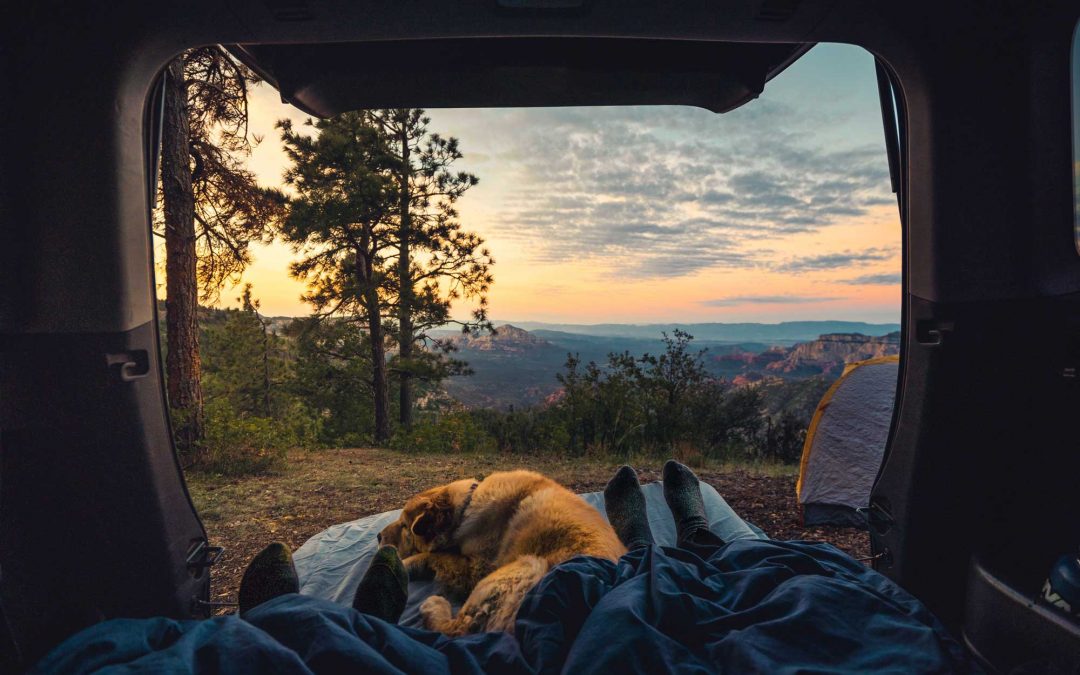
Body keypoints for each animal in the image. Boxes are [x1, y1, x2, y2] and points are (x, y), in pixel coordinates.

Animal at [378, 470, 626, 635]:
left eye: (404, 526)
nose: (378, 536)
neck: (466, 506)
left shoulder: (476, 570)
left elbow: (433, 555)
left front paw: (403, 563)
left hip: (523, 566)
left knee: (458, 630)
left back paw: (434, 607)